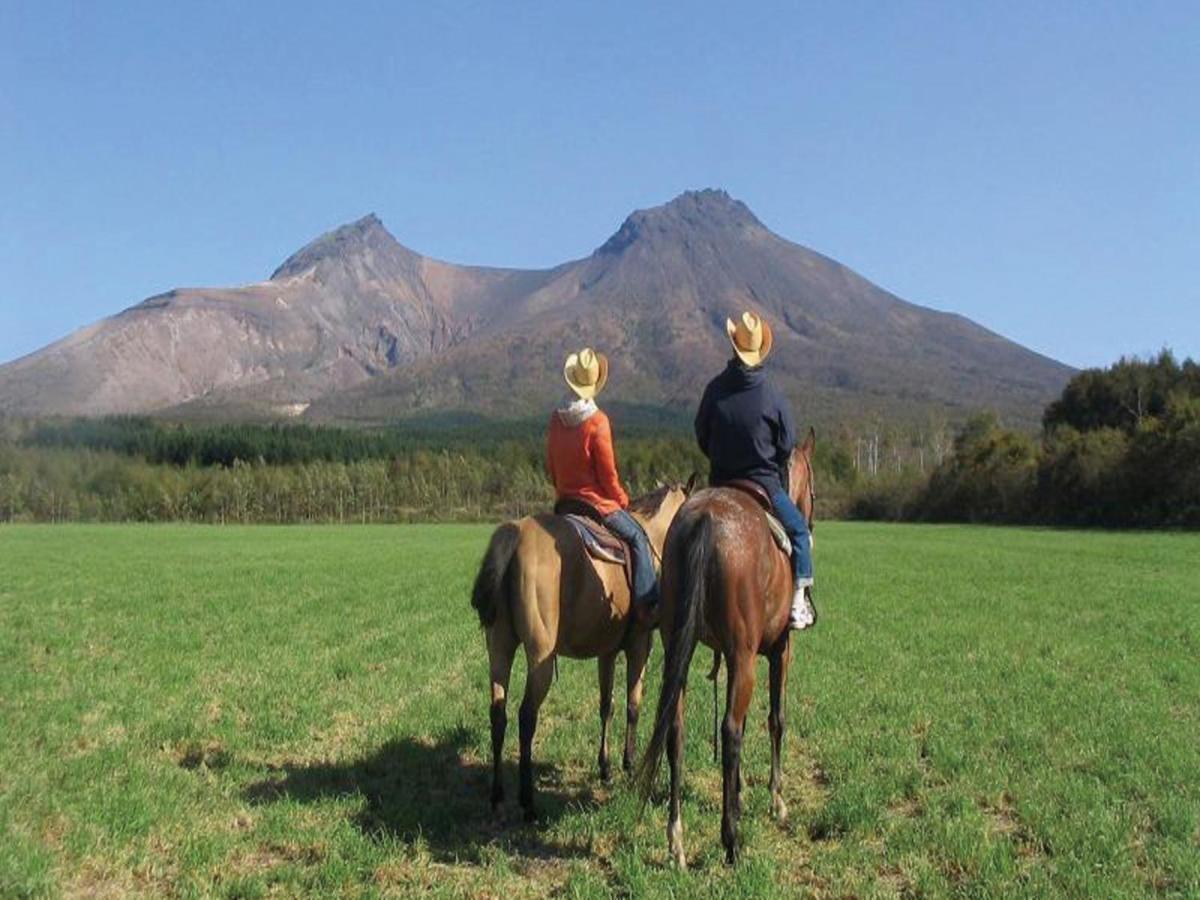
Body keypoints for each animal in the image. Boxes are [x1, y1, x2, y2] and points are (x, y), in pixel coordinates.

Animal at [468, 480, 696, 825]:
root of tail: (515, 534)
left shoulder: (607, 652)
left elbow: (606, 706)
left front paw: (605, 767)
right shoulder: (640, 644)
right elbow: (632, 705)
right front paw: (628, 764)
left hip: (499, 648)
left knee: (498, 713)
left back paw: (497, 797)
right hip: (540, 659)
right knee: (526, 717)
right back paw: (528, 802)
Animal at [638, 434, 816, 868]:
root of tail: (704, 521)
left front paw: (738, 795)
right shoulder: (779, 651)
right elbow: (775, 719)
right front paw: (775, 800)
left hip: (679, 651)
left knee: (676, 731)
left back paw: (676, 840)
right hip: (743, 655)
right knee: (731, 731)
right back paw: (731, 841)